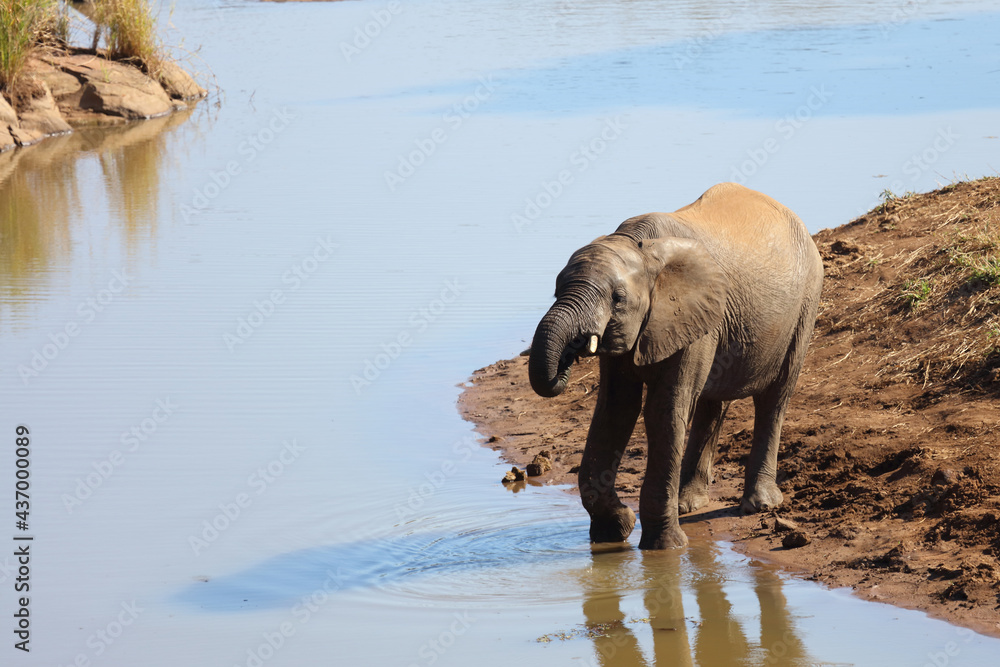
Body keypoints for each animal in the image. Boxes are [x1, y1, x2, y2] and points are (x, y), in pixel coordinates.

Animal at [528, 183, 823, 550]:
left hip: (805, 303)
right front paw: (617, 529)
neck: (641, 247)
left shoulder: (692, 314)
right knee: (713, 401)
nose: (571, 353)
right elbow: (615, 409)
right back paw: (688, 503)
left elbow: (663, 410)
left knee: (774, 398)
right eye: (556, 291)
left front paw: (665, 547)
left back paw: (759, 505)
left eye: (617, 299)